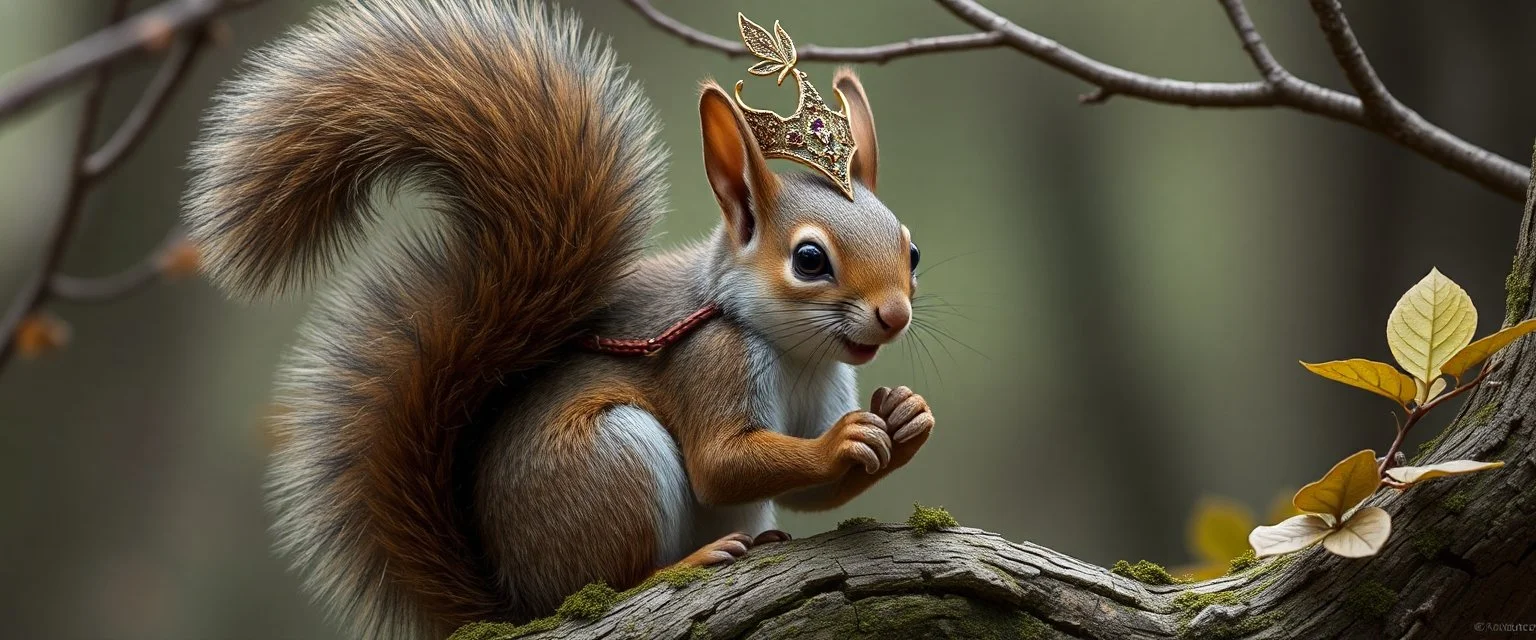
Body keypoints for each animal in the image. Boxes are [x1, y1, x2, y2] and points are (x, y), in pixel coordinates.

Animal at [182, 1, 935, 638]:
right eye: (809, 260)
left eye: (912, 249)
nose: (893, 315)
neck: (796, 354)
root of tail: (518, 601)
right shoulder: (711, 360)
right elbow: (720, 462)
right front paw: (844, 440)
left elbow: (816, 498)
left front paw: (904, 419)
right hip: (610, 463)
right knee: (615, 581)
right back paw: (685, 564)